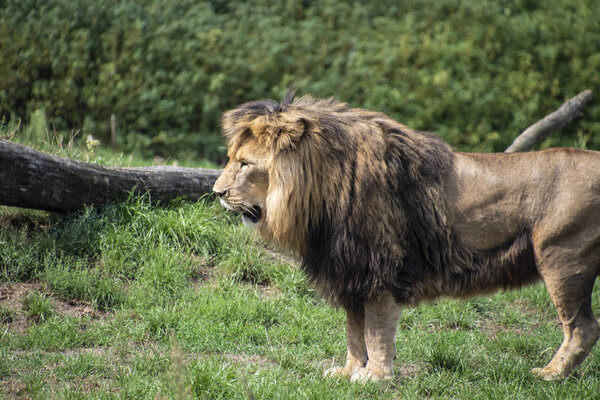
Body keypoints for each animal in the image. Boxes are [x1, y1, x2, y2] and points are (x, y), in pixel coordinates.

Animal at [213, 90, 600, 382]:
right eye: (231, 158)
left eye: (245, 164)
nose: (217, 193)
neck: (321, 193)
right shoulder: (350, 274)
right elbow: (354, 333)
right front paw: (349, 372)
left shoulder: (378, 270)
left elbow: (376, 332)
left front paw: (375, 377)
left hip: (563, 260)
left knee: (582, 328)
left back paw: (550, 375)